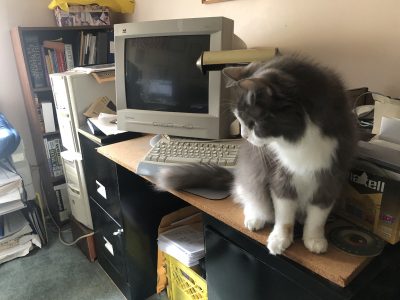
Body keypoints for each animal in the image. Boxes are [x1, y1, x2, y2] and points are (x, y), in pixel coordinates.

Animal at [155, 55, 356, 254]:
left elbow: (318, 216)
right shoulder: (279, 176)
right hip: (252, 178)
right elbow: (284, 216)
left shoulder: (331, 175)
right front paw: (279, 240)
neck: (300, 140)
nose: (244, 136)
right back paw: (254, 218)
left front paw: (314, 239)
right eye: (240, 120)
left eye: (252, 123)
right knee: (247, 197)